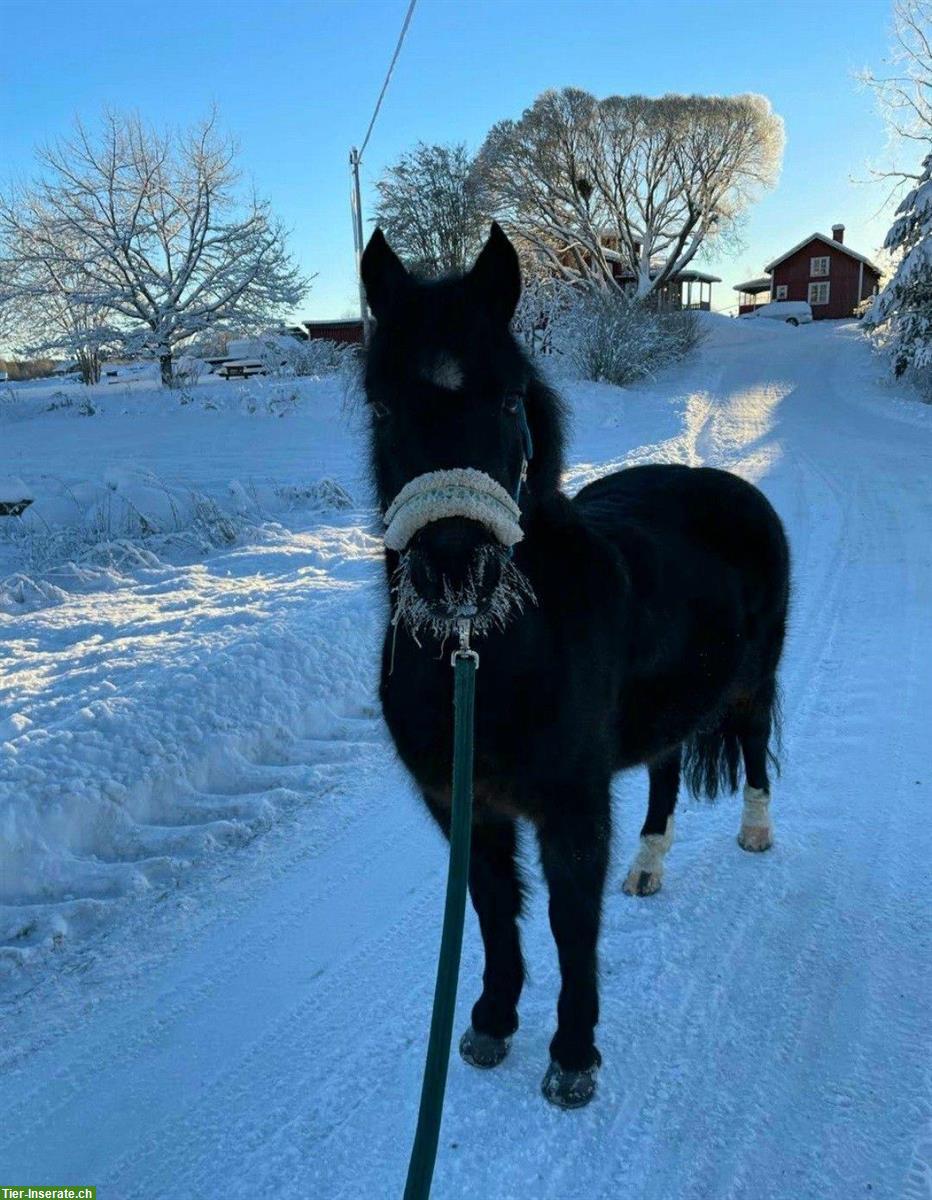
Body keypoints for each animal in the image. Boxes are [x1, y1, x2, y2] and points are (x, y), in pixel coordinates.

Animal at [359, 223, 786, 1104]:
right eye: (381, 407)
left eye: (508, 400)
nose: (454, 570)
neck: (490, 661)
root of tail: (733, 489)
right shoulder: (463, 807)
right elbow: (494, 908)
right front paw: (492, 1022)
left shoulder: (571, 807)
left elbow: (570, 918)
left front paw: (574, 1053)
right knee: (665, 778)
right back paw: (649, 869)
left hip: (751, 685)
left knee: (756, 748)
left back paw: (756, 832)